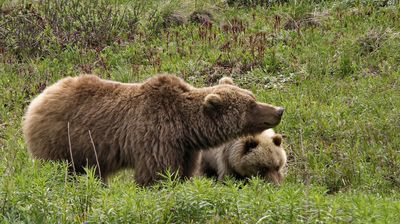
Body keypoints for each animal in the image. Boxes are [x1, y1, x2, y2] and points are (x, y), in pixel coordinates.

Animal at [22, 75, 284, 186]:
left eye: (252, 96)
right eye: (251, 105)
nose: (279, 109)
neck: (185, 128)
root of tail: (37, 100)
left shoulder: (185, 149)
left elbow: (181, 173)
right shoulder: (156, 137)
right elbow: (156, 174)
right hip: (62, 141)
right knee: (62, 171)